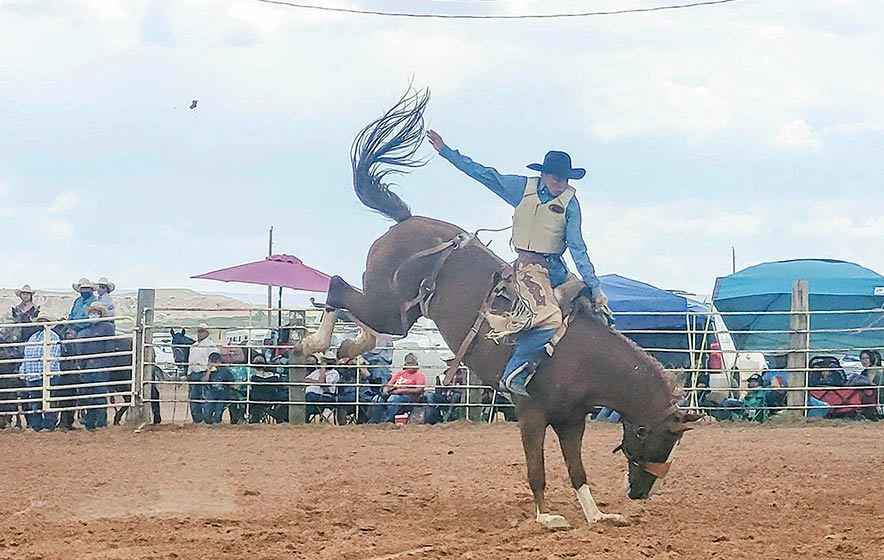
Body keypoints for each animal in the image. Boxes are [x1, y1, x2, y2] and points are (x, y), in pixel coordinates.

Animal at [322, 89, 700, 532]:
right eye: (659, 437)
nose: (640, 492)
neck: (585, 358)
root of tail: (406, 219)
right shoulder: (531, 413)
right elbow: (537, 469)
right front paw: (546, 516)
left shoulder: (572, 421)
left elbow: (577, 471)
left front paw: (597, 514)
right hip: (387, 304)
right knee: (337, 286)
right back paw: (318, 342)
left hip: (398, 313)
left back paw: (349, 346)